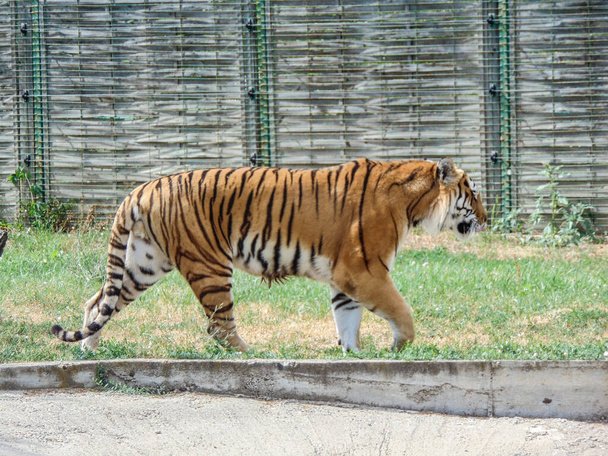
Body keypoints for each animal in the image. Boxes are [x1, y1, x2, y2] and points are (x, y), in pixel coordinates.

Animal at [53, 157, 490, 352]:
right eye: (474, 194)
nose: (487, 219)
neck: (413, 203)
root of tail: (140, 189)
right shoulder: (365, 271)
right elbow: (402, 311)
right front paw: (399, 347)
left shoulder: (345, 277)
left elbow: (348, 320)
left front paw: (353, 355)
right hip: (209, 266)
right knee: (220, 326)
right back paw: (250, 355)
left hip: (143, 264)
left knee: (97, 302)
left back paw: (88, 351)